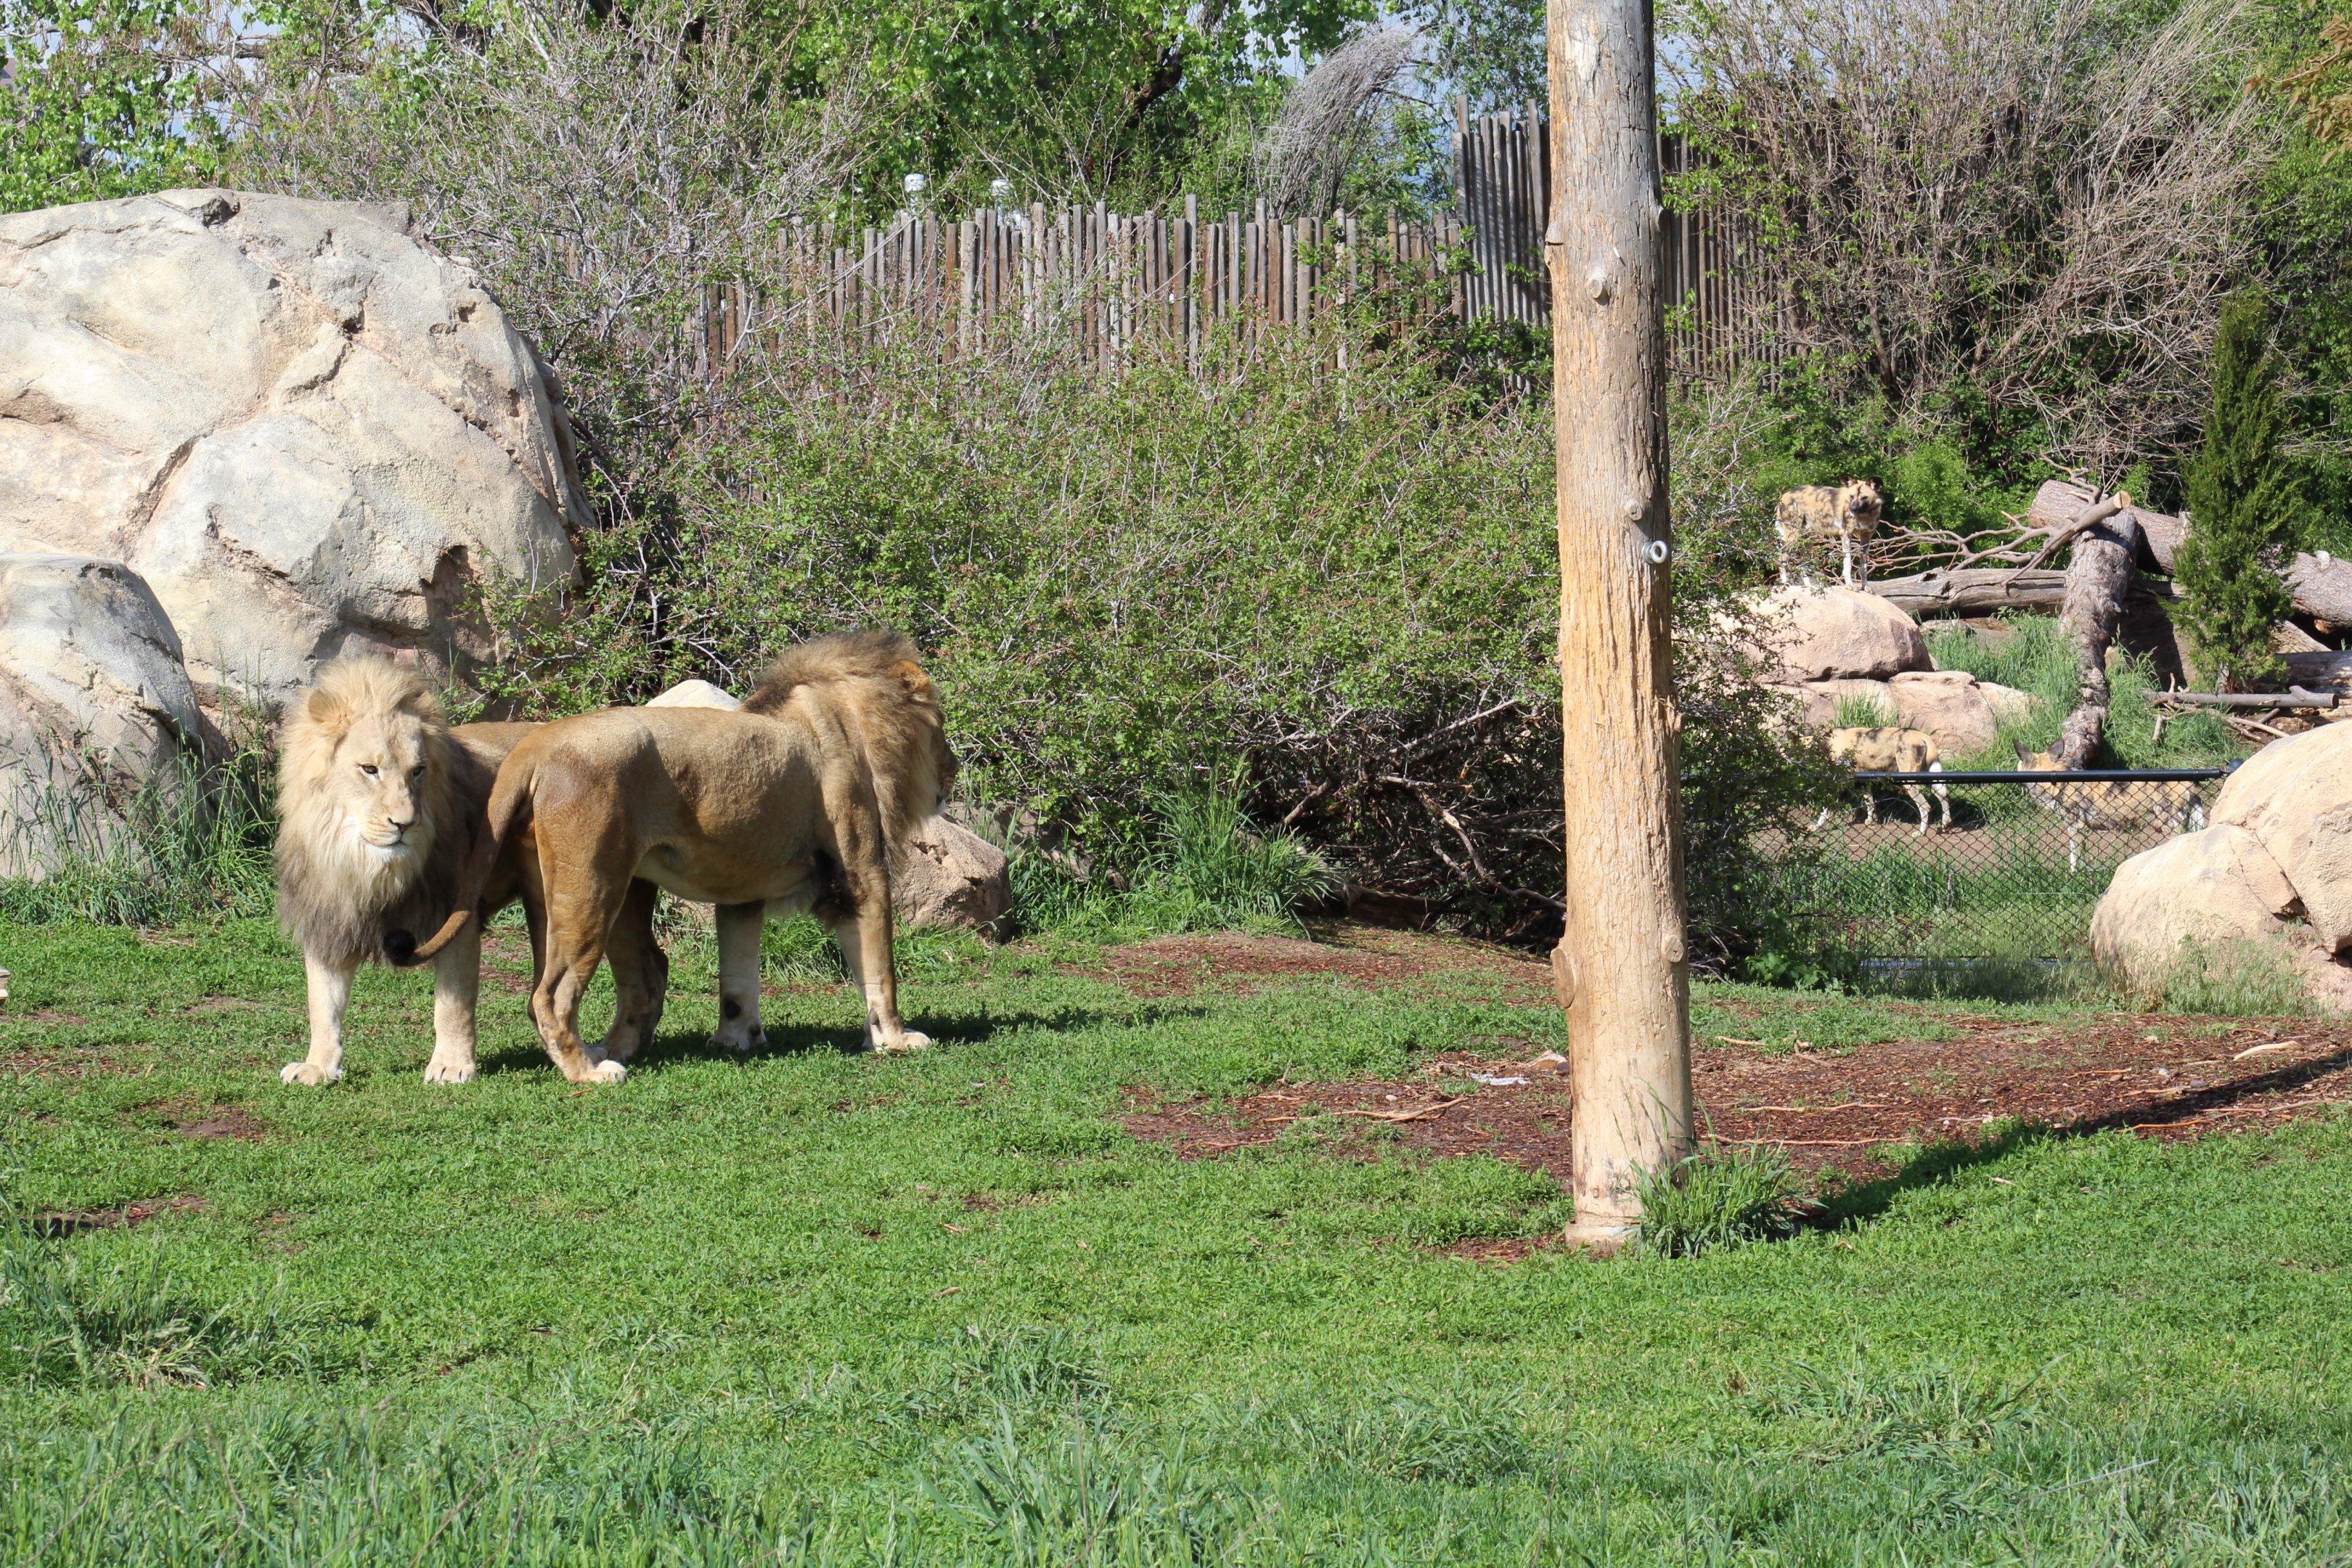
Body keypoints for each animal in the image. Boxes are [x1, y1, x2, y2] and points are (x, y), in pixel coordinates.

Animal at [273, 658, 669, 1087]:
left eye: (418, 771)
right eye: (369, 769)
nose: (405, 824)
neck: (364, 863)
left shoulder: (455, 916)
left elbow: (453, 1001)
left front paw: (451, 1064)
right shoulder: (328, 917)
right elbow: (323, 1003)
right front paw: (318, 1066)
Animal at [399, 631, 955, 1085]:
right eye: (942, 728)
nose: (951, 770)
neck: (850, 720)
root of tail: (533, 747)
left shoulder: (741, 892)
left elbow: (738, 976)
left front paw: (737, 1040)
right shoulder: (861, 877)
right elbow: (880, 970)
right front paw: (895, 1040)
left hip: (614, 890)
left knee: (638, 978)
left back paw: (608, 1051)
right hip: (592, 885)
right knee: (551, 995)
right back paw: (590, 1073)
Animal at [1776, 479, 1884, 587]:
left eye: (1865, 498)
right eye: (1851, 496)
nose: (1853, 509)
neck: (1865, 515)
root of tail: (1784, 496)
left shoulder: (1867, 537)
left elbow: (1863, 567)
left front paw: (1865, 587)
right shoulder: (1846, 534)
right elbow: (1848, 564)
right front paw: (1850, 586)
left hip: (1806, 541)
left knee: (1803, 564)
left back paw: (1808, 586)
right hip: (1793, 539)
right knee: (1781, 561)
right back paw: (1786, 585)